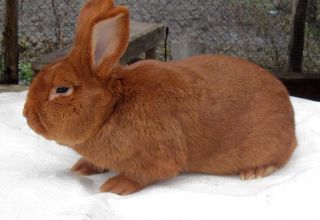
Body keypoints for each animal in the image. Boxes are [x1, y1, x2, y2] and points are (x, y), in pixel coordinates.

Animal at [23, 0, 296, 196]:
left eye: (61, 90)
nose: (26, 115)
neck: (112, 107)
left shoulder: (157, 156)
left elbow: (143, 175)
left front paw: (115, 186)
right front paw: (82, 167)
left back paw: (255, 171)